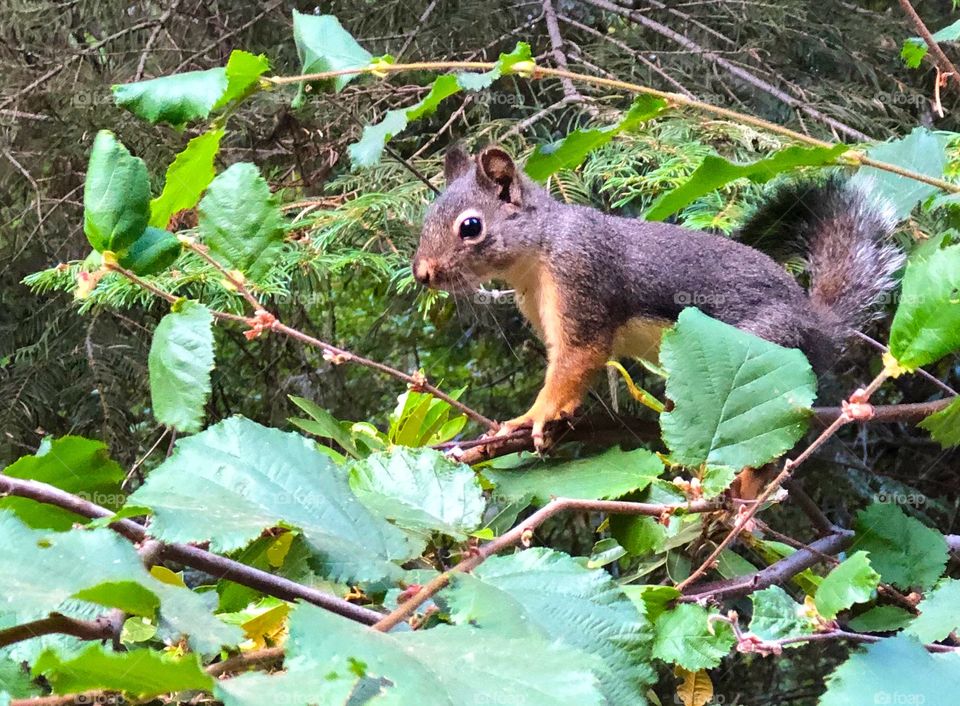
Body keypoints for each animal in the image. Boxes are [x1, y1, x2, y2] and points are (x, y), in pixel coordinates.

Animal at [412, 145, 904, 447]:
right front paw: (557, 411)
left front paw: (534, 415)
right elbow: (568, 367)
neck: (539, 251)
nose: (422, 274)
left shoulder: (582, 279)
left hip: (769, 342)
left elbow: (578, 356)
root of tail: (818, 327)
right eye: (427, 215)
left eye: (471, 226)